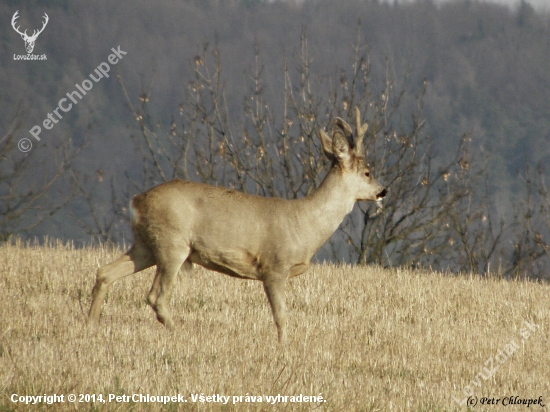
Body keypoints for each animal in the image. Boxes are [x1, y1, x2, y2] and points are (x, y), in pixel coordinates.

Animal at [87, 106, 388, 342]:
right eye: (367, 172)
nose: (382, 190)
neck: (305, 223)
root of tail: (136, 201)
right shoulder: (274, 267)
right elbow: (281, 316)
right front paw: (285, 346)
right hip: (172, 244)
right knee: (155, 297)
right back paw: (178, 332)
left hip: (146, 245)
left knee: (105, 272)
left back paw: (91, 323)